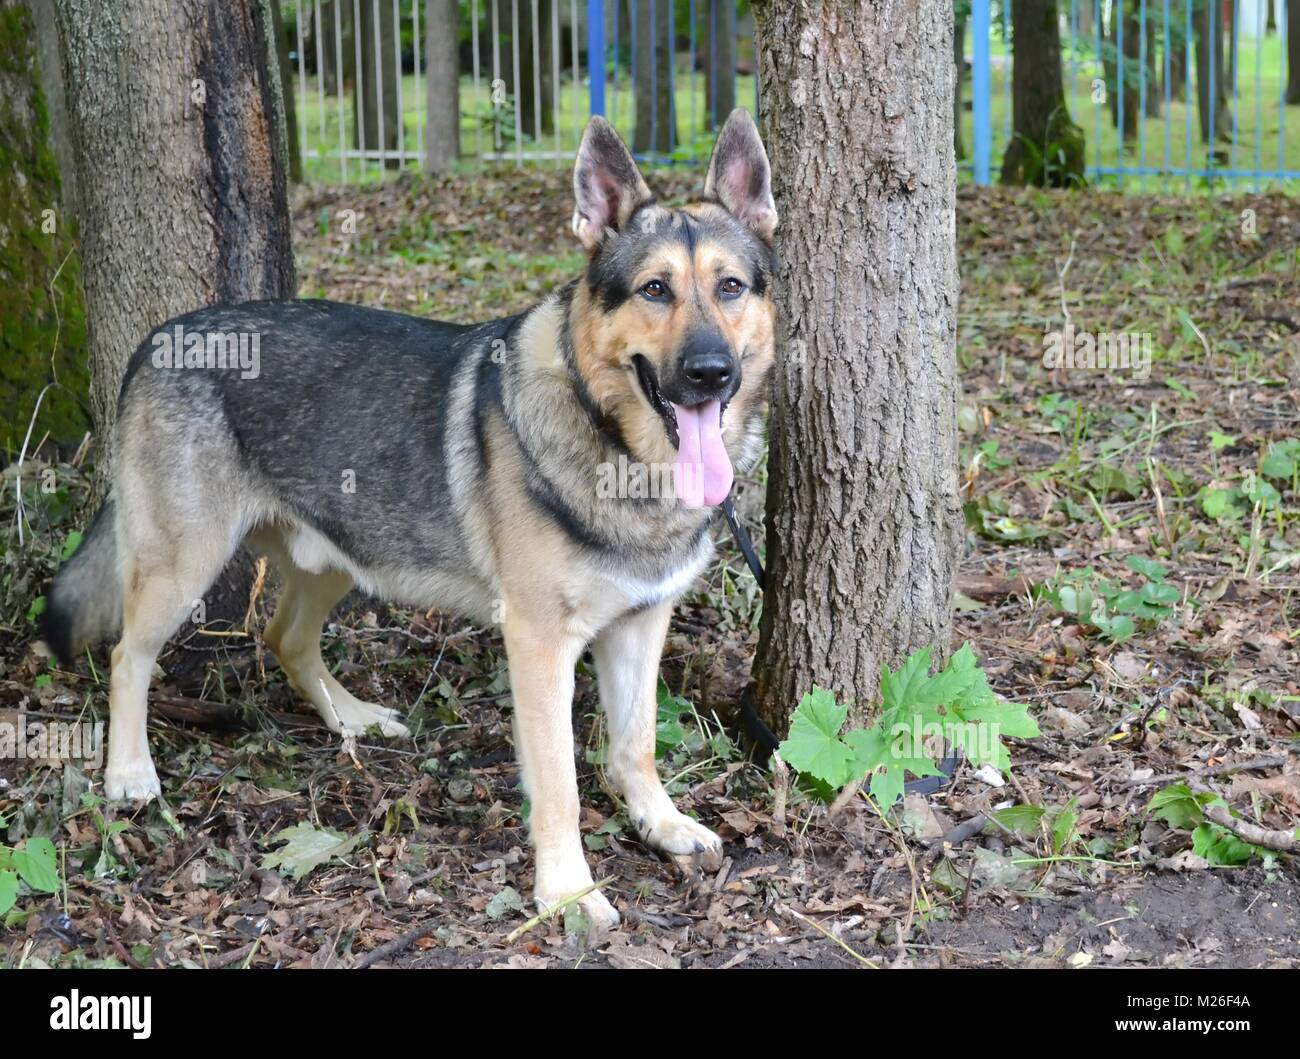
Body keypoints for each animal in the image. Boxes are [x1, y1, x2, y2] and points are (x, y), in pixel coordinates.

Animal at [40, 111, 774, 930]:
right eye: (654, 289)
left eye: (730, 287)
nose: (710, 373)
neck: (618, 448)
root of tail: (161, 336)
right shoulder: (539, 644)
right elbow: (559, 784)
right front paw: (567, 890)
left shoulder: (641, 626)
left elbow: (636, 746)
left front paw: (659, 821)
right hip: (182, 566)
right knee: (127, 656)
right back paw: (129, 770)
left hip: (337, 556)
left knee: (284, 637)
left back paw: (350, 719)